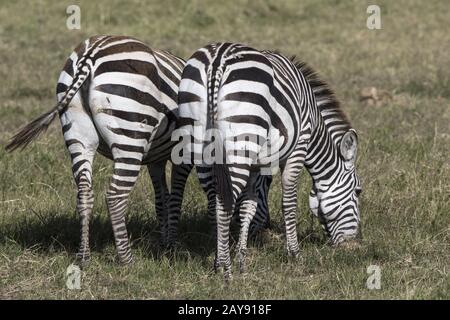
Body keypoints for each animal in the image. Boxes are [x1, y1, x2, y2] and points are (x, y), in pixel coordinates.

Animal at [4, 35, 192, 264]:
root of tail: (89, 56)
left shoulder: (156, 159)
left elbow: (162, 198)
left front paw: (164, 243)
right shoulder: (184, 153)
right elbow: (175, 197)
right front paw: (171, 246)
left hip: (78, 134)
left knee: (84, 193)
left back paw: (84, 256)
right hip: (130, 135)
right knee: (115, 195)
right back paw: (126, 260)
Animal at [176, 42, 362, 278]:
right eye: (358, 191)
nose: (353, 244)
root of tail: (217, 61)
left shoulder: (256, 165)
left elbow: (248, 207)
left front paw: (242, 259)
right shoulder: (298, 147)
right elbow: (288, 202)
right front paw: (294, 254)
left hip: (198, 142)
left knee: (212, 202)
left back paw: (218, 260)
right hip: (240, 144)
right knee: (223, 204)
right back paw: (225, 269)